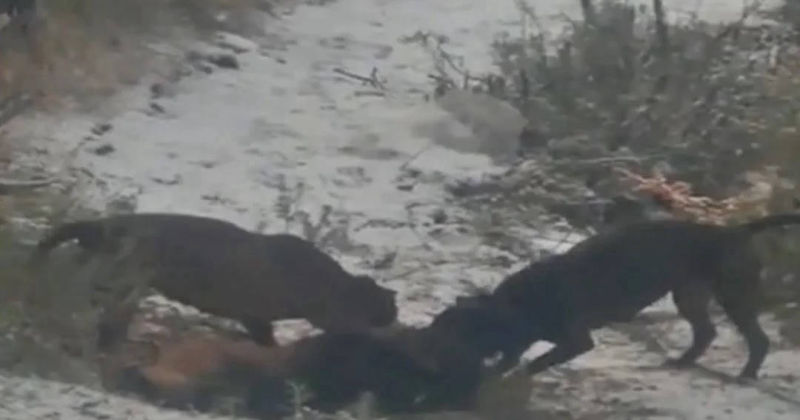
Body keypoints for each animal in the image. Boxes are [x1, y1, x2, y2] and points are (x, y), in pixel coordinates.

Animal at [32, 213, 398, 348]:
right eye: (388, 303)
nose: (394, 312)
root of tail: (109, 222)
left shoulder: (256, 318)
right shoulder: (327, 315)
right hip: (119, 277)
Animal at [429, 214, 800, 381]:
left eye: (452, 331)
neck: (517, 306)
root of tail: (735, 230)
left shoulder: (577, 340)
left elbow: (537, 360)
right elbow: (512, 357)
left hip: (733, 296)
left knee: (758, 339)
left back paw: (746, 375)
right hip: (689, 295)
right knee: (706, 332)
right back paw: (682, 361)